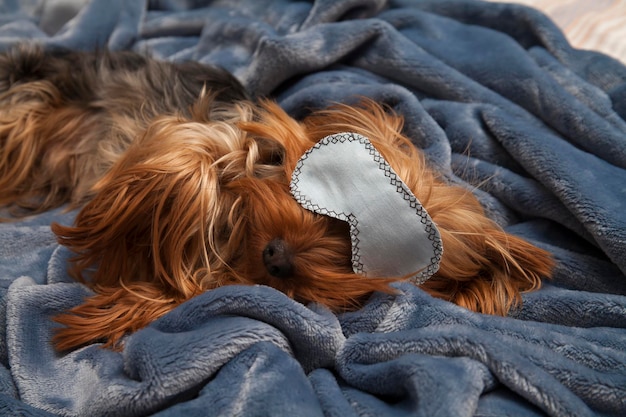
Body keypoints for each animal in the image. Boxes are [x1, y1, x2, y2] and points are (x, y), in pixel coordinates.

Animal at [0, 44, 552, 352]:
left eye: (362, 263)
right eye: (324, 197)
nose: (277, 258)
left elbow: (201, 286)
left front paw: (123, 304)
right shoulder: (197, 129)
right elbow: (194, 162)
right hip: (27, 100)